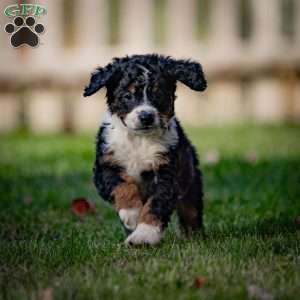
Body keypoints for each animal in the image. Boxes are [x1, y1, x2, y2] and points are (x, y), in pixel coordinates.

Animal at [83, 54, 207, 246]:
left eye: (159, 94)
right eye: (127, 95)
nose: (146, 117)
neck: (139, 140)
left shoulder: (167, 173)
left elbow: (155, 205)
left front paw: (143, 235)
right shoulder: (105, 166)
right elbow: (122, 186)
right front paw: (132, 215)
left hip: (190, 182)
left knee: (191, 213)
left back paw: (194, 238)